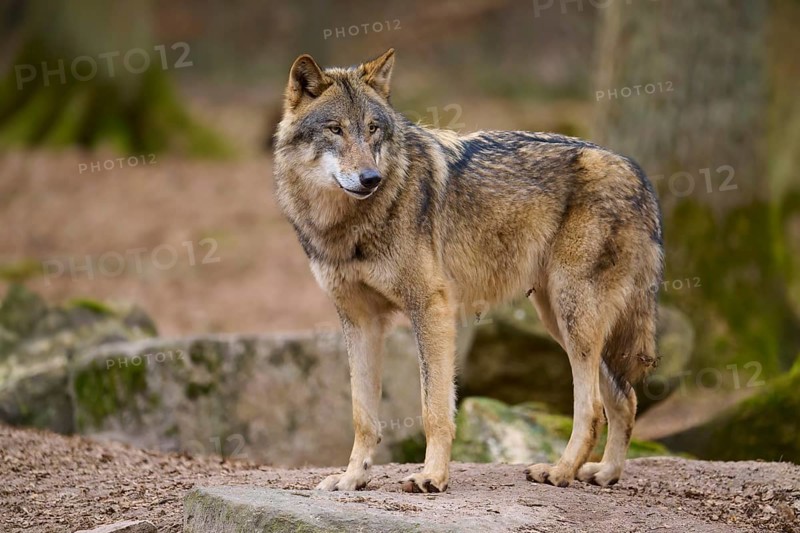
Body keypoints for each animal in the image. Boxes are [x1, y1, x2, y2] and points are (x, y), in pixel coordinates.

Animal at [273, 48, 663, 493]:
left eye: (373, 129)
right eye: (335, 129)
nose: (370, 178)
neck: (348, 226)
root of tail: (638, 174)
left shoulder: (432, 308)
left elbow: (434, 409)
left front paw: (432, 476)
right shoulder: (360, 321)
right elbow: (362, 415)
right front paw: (352, 478)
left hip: (573, 317)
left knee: (594, 407)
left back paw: (561, 471)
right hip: (562, 322)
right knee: (625, 398)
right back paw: (606, 473)